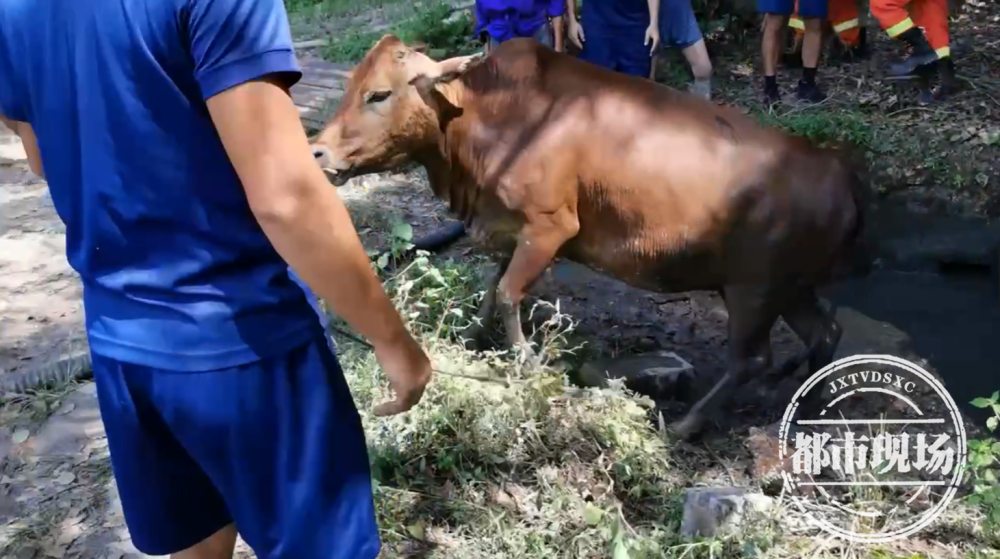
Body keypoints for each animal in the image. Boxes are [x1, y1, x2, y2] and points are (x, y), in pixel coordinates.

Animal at [308, 35, 872, 442]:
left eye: (380, 93)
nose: (317, 152)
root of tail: (839, 172)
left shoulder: (550, 225)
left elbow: (509, 294)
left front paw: (527, 365)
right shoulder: (510, 226)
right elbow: (492, 291)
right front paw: (469, 342)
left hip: (752, 287)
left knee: (754, 358)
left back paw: (688, 424)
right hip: (788, 287)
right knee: (825, 332)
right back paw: (810, 405)